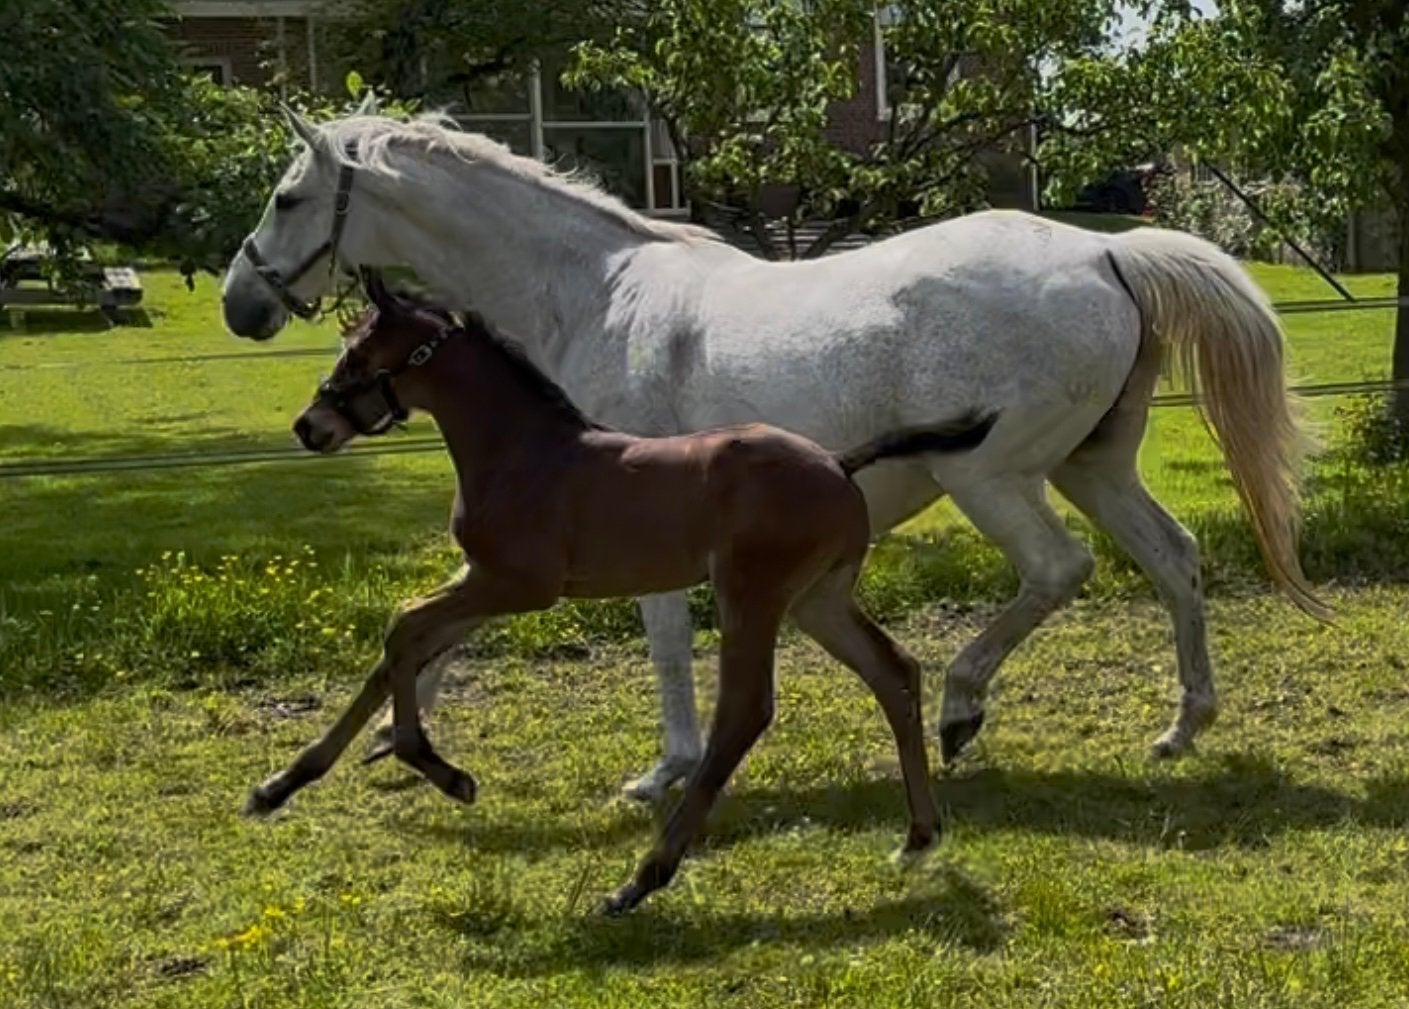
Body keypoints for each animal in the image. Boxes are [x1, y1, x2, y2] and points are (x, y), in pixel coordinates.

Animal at [221, 105, 1331, 802]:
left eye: (286, 198)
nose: (241, 304)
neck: (589, 294)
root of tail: (1105, 250)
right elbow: (452, 628)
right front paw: (383, 740)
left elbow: (662, 643)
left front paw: (659, 773)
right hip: (1089, 466)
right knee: (1173, 558)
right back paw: (1180, 726)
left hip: (991, 476)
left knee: (1059, 570)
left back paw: (960, 710)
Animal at [247, 274, 995, 914]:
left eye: (356, 352)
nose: (309, 426)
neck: (522, 453)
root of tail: (839, 463)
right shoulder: (480, 578)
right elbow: (398, 645)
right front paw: (279, 785)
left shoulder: (519, 586)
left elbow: (403, 627)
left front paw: (442, 770)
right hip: (819, 599)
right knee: (893, 671)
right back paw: (919, 836)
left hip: (752, 592)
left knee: (744, 711)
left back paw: (641, 879)